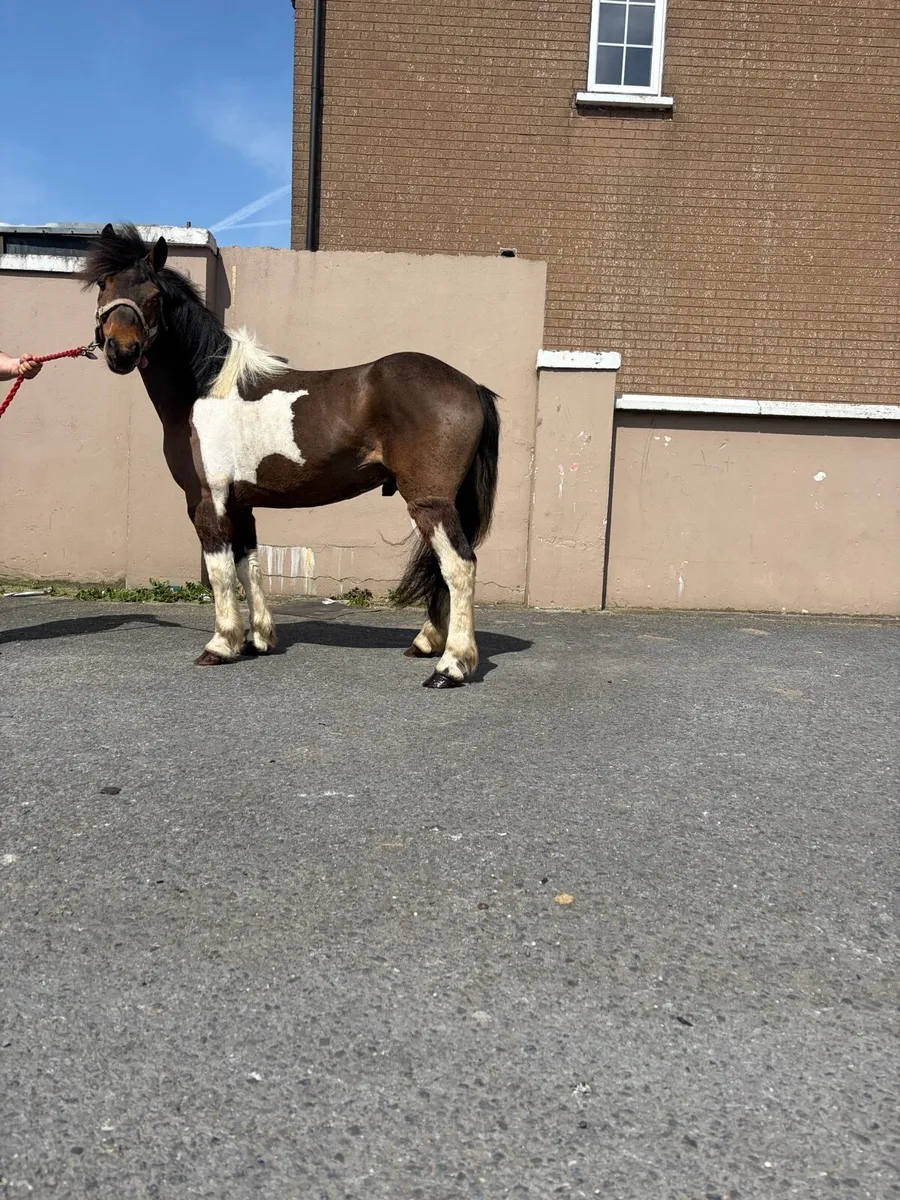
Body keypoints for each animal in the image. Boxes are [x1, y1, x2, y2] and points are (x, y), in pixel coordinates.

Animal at [81, 224, 500, 688]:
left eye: (153, 294)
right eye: (104, 285)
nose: (121, 350)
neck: (205, 388)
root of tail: (470, 385)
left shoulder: (207, 501)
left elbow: (220, 571)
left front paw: (220, 645)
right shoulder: (240, 504)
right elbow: (248, 566)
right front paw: (258, 639)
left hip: (431, 502)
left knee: (459, 567)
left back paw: (451, 666)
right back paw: (427, 644)